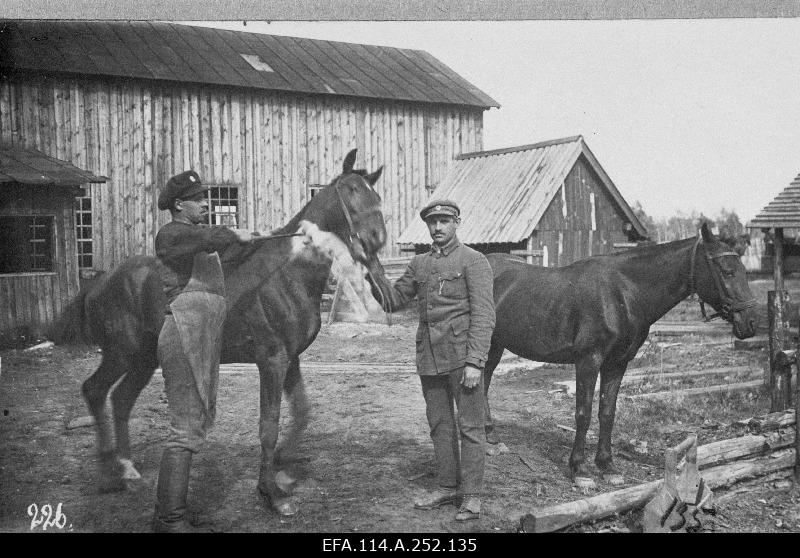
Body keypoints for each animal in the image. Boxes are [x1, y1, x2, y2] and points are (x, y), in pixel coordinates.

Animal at [54, 150, 396, 516]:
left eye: (375, 195)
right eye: (350, 190)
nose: (376, 238)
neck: (287, 274)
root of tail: (101, 282)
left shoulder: (291, 359)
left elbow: (302, 413)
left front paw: (283, 467)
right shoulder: (271, 361)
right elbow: (268, 425)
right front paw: (271, 492)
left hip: (144, 360)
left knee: (120, 399)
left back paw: (128, 467)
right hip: (121, 354)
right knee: (94, 390)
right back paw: (108, 475)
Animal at [482, 223, 756, 490]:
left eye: (743, 270)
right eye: (727, 271)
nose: (749, 324)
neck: (622, 293)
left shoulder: (617, 363)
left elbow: (607, 412)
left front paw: (607, 466)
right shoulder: (588, 360)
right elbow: (584, 413)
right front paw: (579, 469)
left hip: (494, 346)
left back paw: (490, 438)